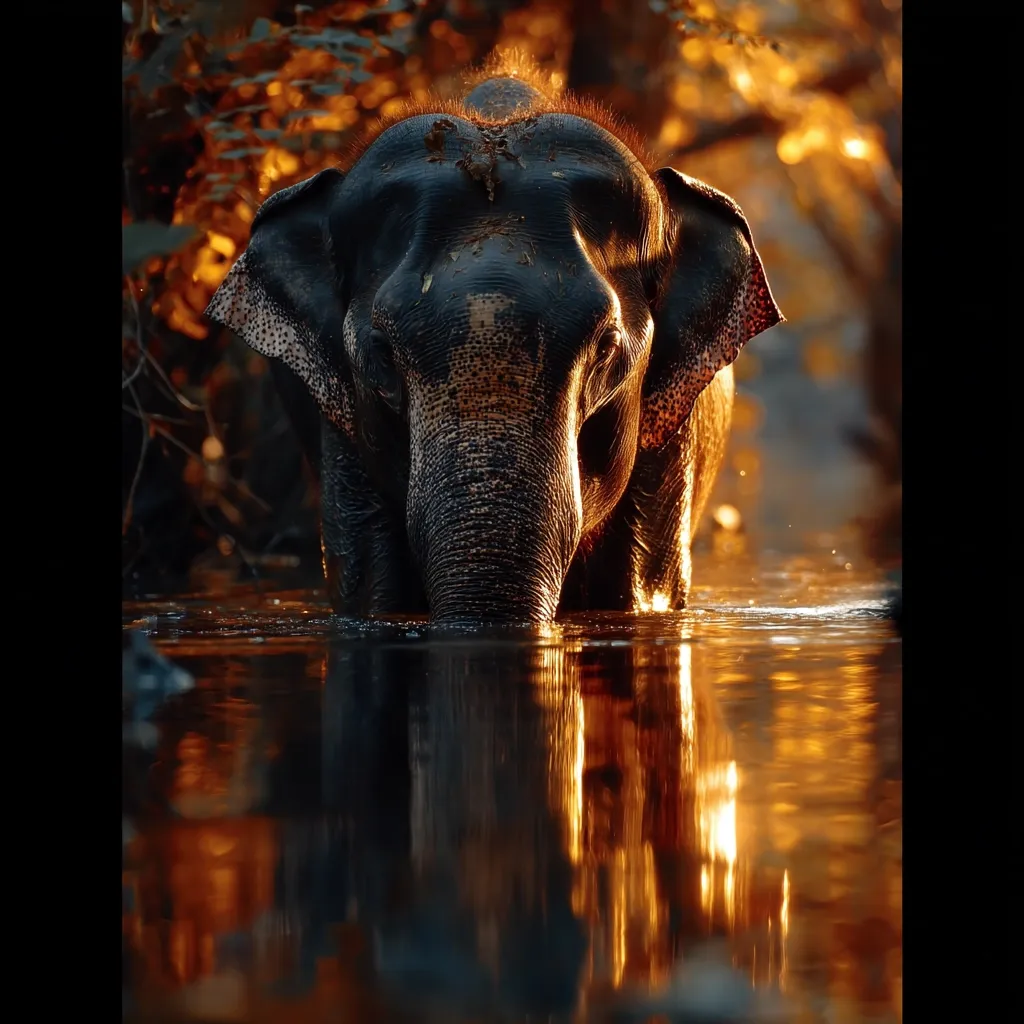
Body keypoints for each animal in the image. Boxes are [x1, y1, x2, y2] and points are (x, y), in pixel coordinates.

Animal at [206, 63, 783, 622]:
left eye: (606, 349)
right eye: (381, 353)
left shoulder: (670, 436)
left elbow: (642, 591)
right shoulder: (341, 428)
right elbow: (370, 588)